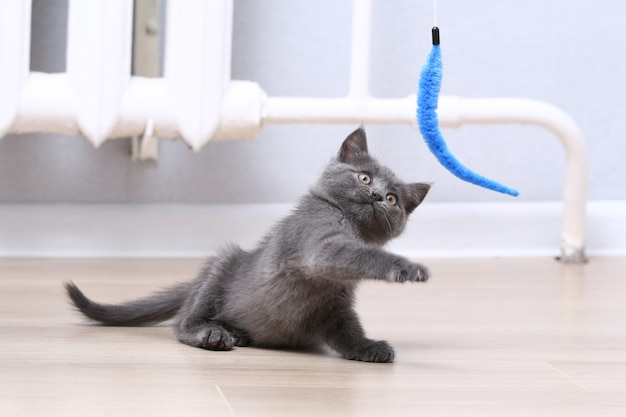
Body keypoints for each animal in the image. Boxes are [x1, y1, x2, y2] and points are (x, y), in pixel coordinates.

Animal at [67, 127, 428, 360]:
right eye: (364, 177)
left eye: (393, 199)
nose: (377, 196)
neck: (350, 225)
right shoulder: (316, 240)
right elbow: (356, 255)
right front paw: (407, 267)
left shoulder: (333, 304)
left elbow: (346, 328)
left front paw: (367, 347)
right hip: (220, 269)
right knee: (183, 320)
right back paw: (211, 333)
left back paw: (237, 333)